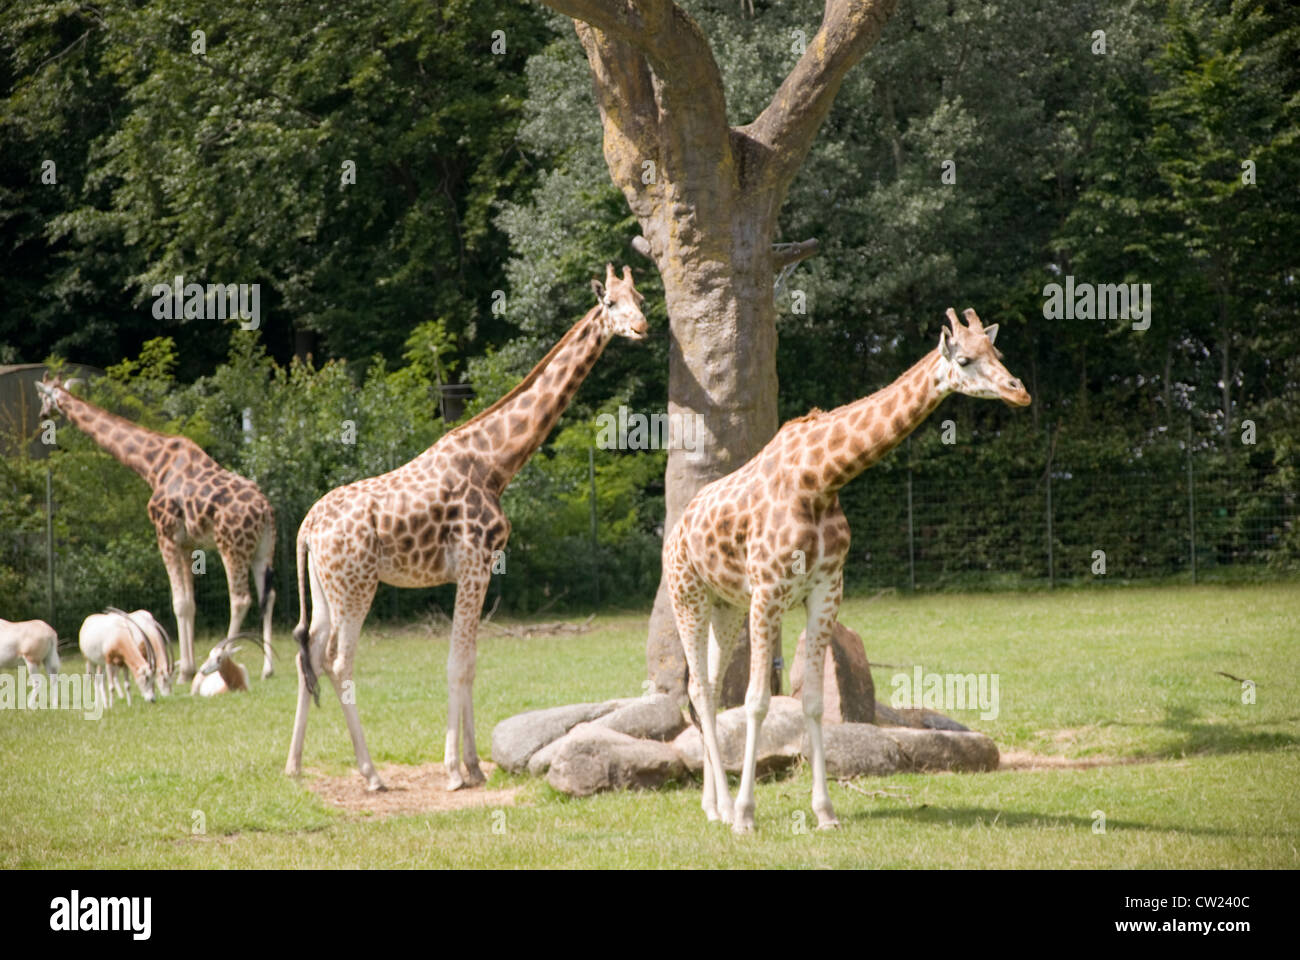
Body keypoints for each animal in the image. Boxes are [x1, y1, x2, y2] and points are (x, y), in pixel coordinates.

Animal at [35, 374, 276, 681]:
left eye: (44, 396)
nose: (43, 415)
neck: (151, 465)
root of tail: (265, 510)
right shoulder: (186, 543)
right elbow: (189, 604)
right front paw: (184, 667)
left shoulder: (165, 535)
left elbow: (179, 603)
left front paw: (186, 671)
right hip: (263, 549)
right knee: (268, 596)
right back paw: (268, 668)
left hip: (232, 547)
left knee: (241, 599)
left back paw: (219, 659)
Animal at [287, 265, 647, 790]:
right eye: (611, 304)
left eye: (640, 298)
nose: (642, 328)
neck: (497, 462)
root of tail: (307, 527)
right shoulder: (474, 564)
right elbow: (458, 663)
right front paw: (455, 770)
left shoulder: (479, 570)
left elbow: (472, 661)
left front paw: (475, 765)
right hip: (357, 586)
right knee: (338, 660)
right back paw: (371, 773)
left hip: (324, 588)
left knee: (310, 653)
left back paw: (294, 765)